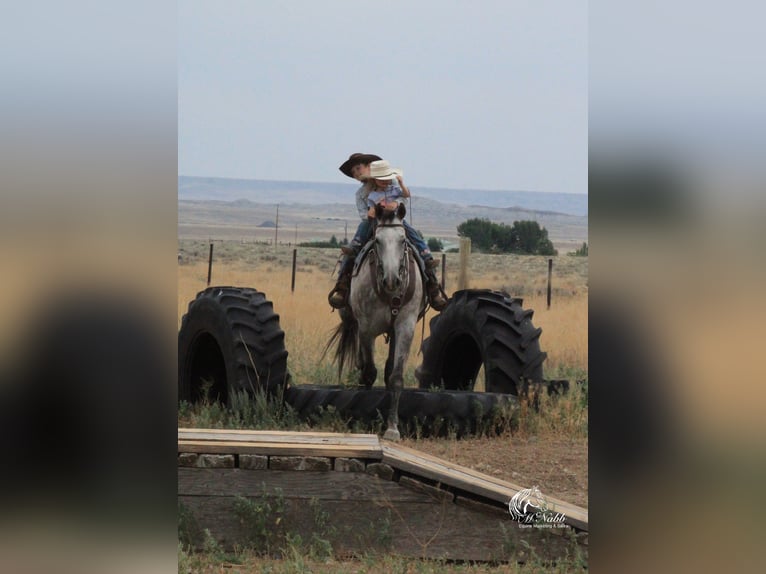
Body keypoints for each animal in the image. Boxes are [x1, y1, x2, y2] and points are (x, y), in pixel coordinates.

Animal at [328, 202, 428, 440]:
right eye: (378, 241)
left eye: (403, 240)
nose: (392, 280)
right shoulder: (366, 329)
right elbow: (368, 372)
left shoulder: (405, 327)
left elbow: (396, 376)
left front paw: (392, 427)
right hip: (353, 321)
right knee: (362, 362)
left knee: (388, 366)